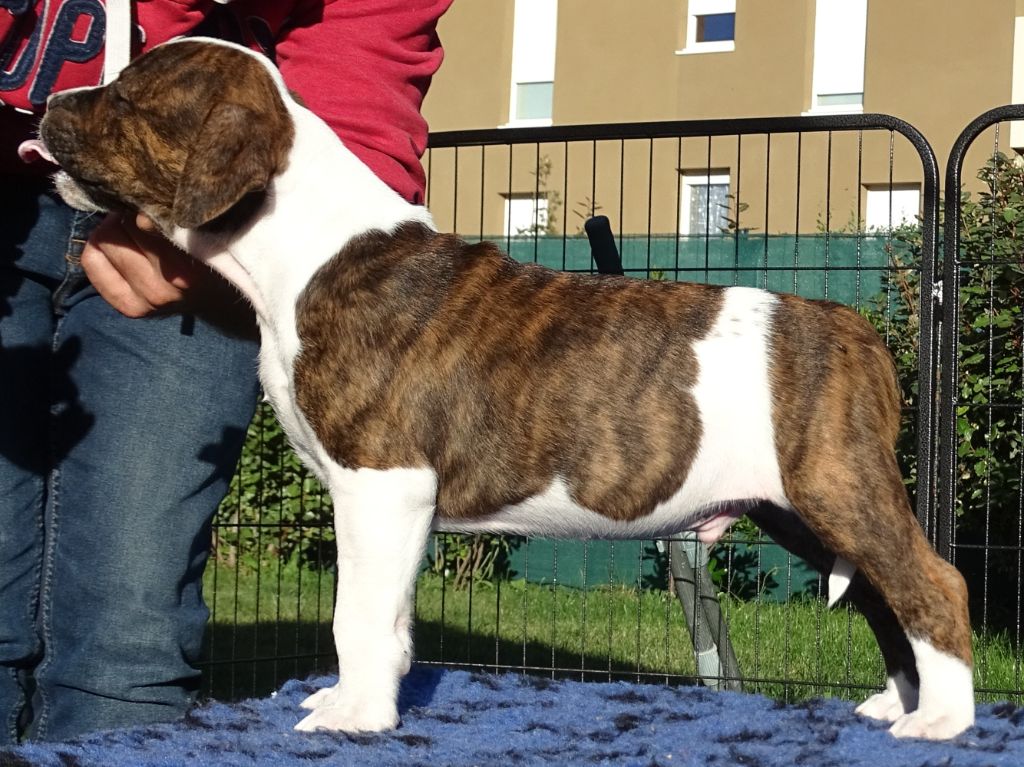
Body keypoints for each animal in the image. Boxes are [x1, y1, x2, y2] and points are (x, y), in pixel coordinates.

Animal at [24, 38, 974, 740]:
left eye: (126, 96)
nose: (48, 106)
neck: (300, 247)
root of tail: (854, 327)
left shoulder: (383, 485)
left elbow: (355, 614)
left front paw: (353, 717)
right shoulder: (387, 503)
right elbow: (387, 620)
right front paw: (364, 698)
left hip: (838, 483)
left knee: (934, 582)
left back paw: (945, 722)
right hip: (798, 508)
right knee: (885, 594)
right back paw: (897, 702)